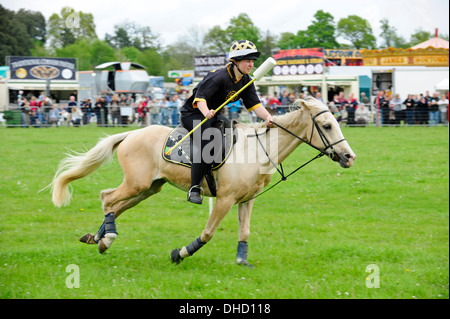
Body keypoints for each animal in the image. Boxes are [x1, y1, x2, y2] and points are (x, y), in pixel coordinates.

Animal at [50, 97, 356, 268]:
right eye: (327, 126)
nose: (349, 157)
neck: (256, 149)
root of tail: (130, 134)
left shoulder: (246, 200)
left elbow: (244, 232)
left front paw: (242, 261)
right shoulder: (224, 200)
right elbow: (207, 234)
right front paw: (180, 253)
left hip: (148, 188)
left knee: (115, 205)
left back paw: (98, 238)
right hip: (137, 184)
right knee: (107, 198)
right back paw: (107, 239)